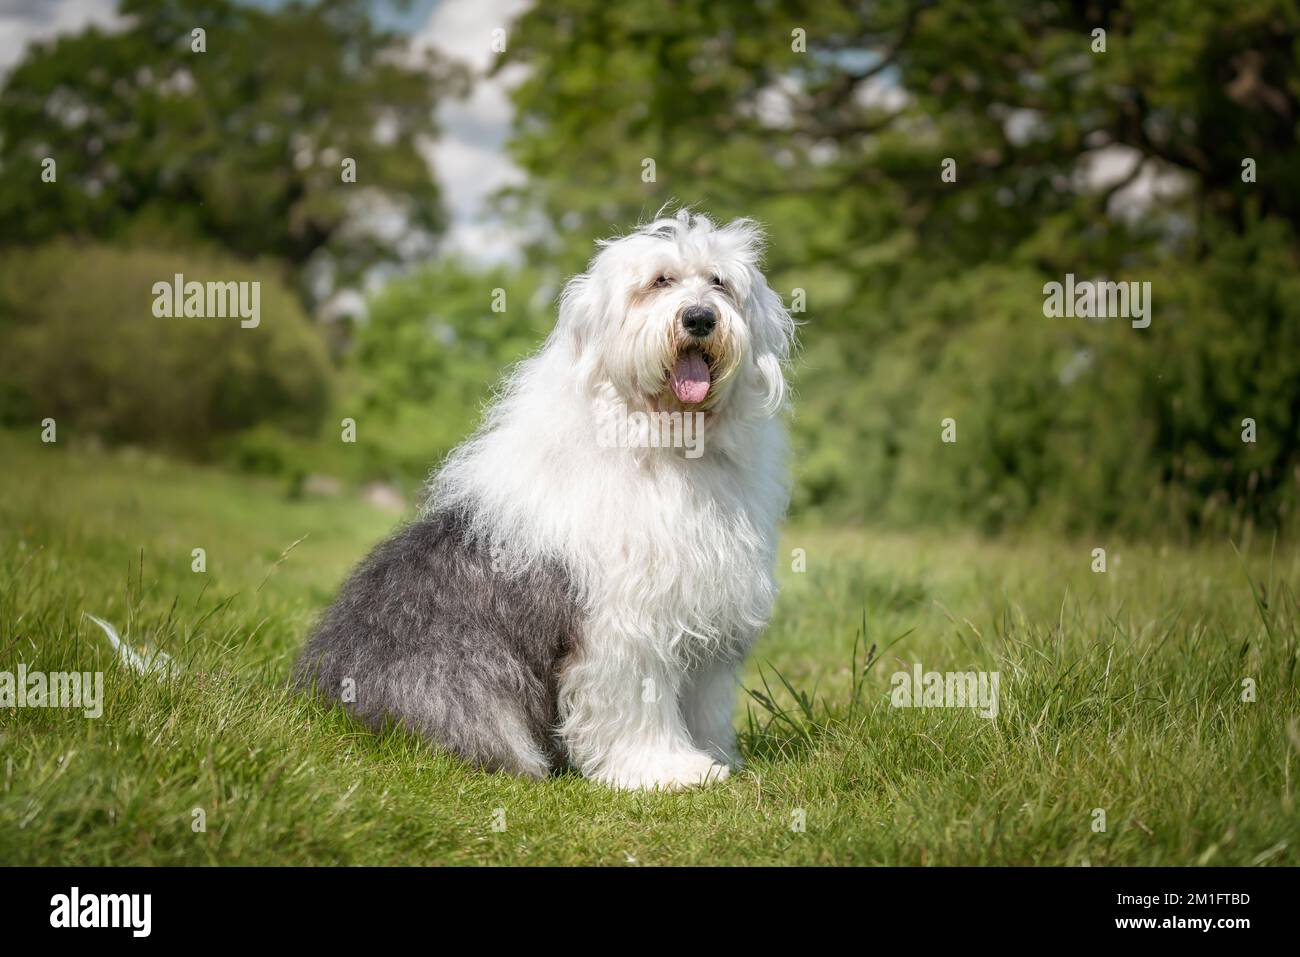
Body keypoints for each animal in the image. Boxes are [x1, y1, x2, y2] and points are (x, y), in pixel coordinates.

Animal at [296, 210, 795, 790]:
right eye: (659, 281)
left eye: (719, 283)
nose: (699, 318)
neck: (663, 441)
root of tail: (317, 689)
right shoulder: (624, 622)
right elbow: (639, 699)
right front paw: (664, 770)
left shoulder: (707, 614)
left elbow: (705, 700)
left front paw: (713, 756)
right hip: (457, 687)